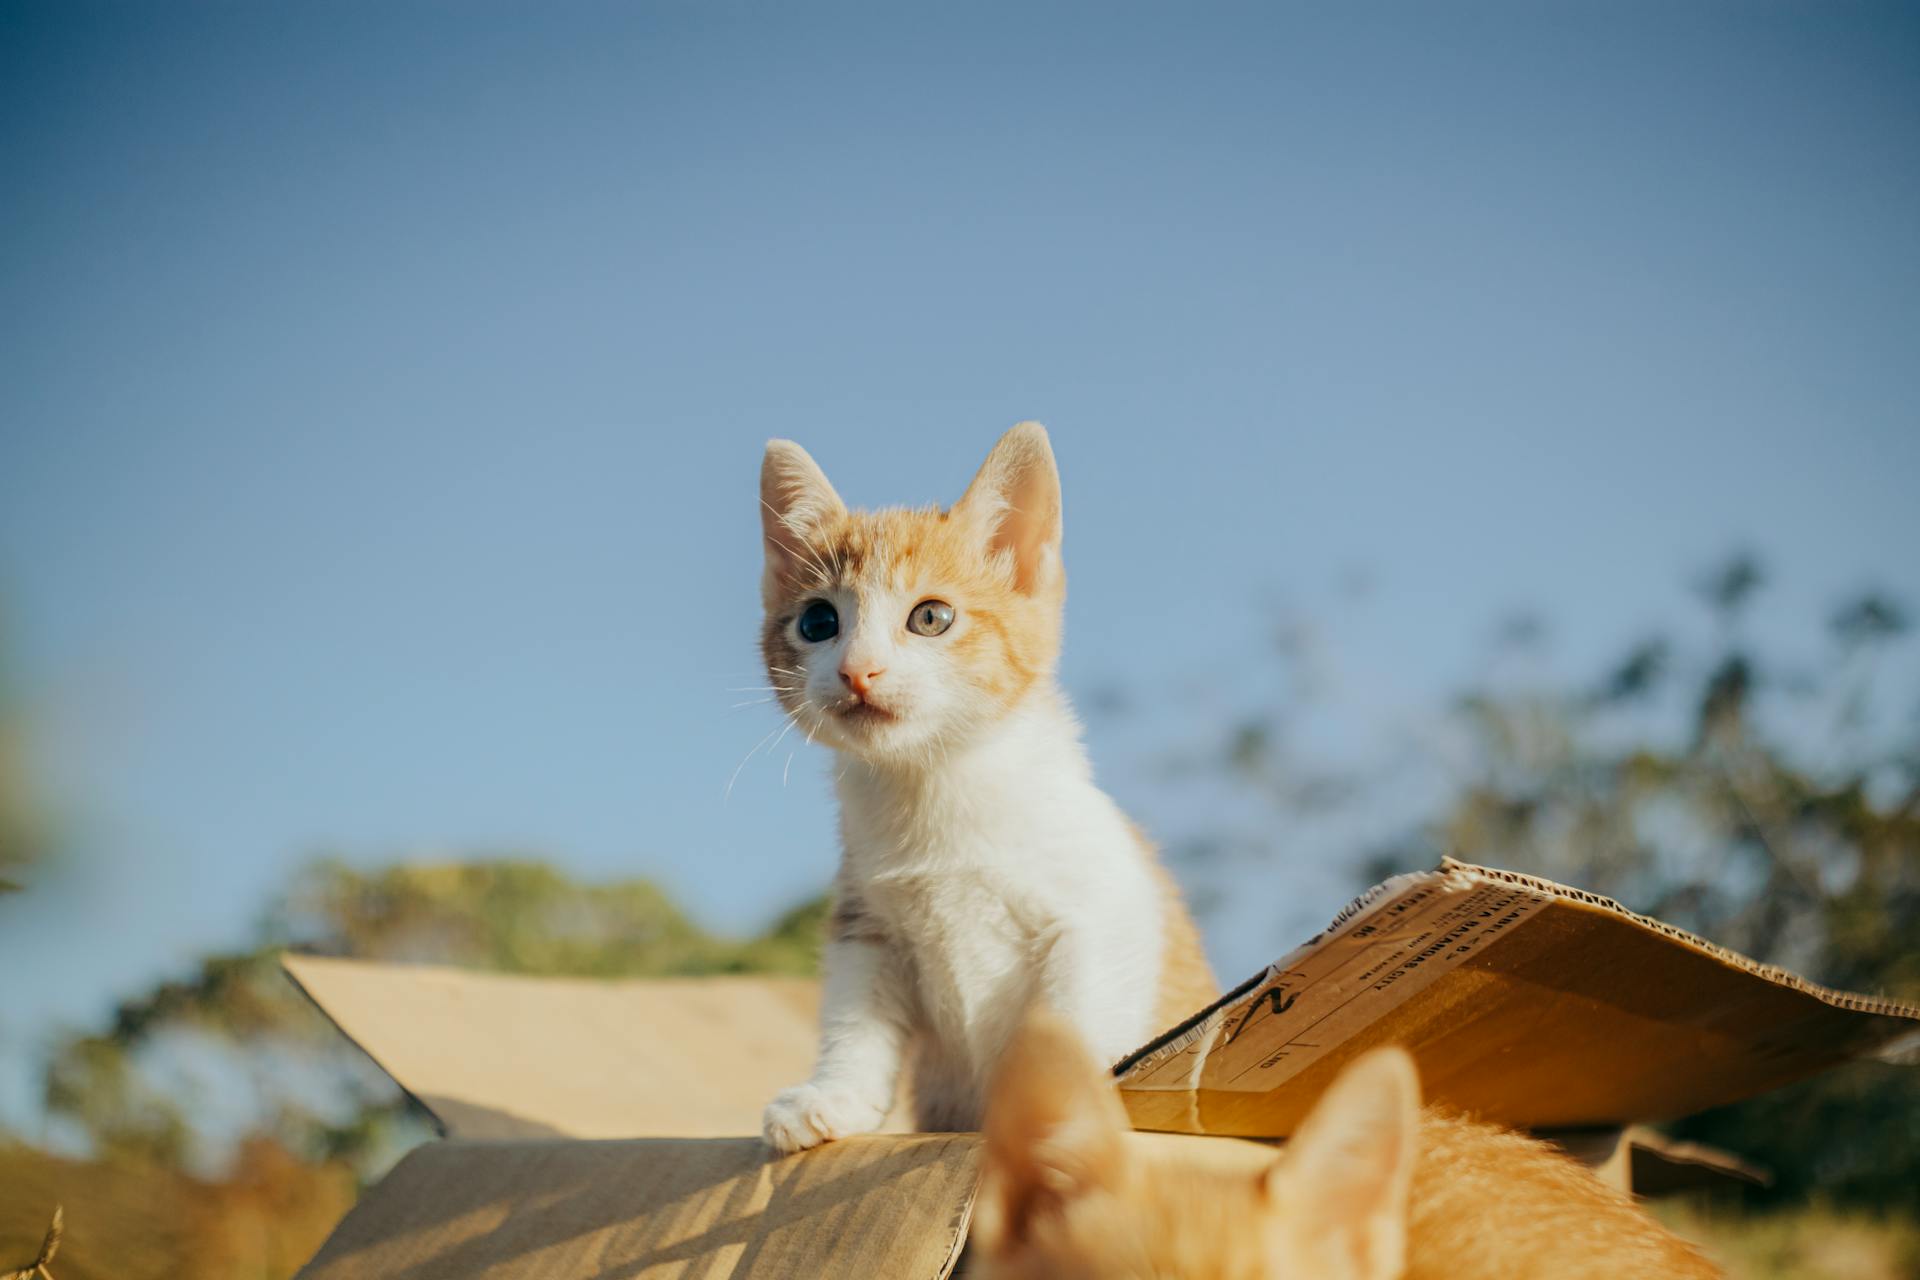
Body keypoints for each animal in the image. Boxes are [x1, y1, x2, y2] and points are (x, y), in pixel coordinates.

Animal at [752, 426, 1213, 1159]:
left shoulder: (1104, 908)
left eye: (931, 617)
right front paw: (833, 1095)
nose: (858, 671)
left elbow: (1074, 1013)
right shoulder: (867, 925)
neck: (935, 785)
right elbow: (856, 1019)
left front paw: (1061, 1112)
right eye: (818, 623)